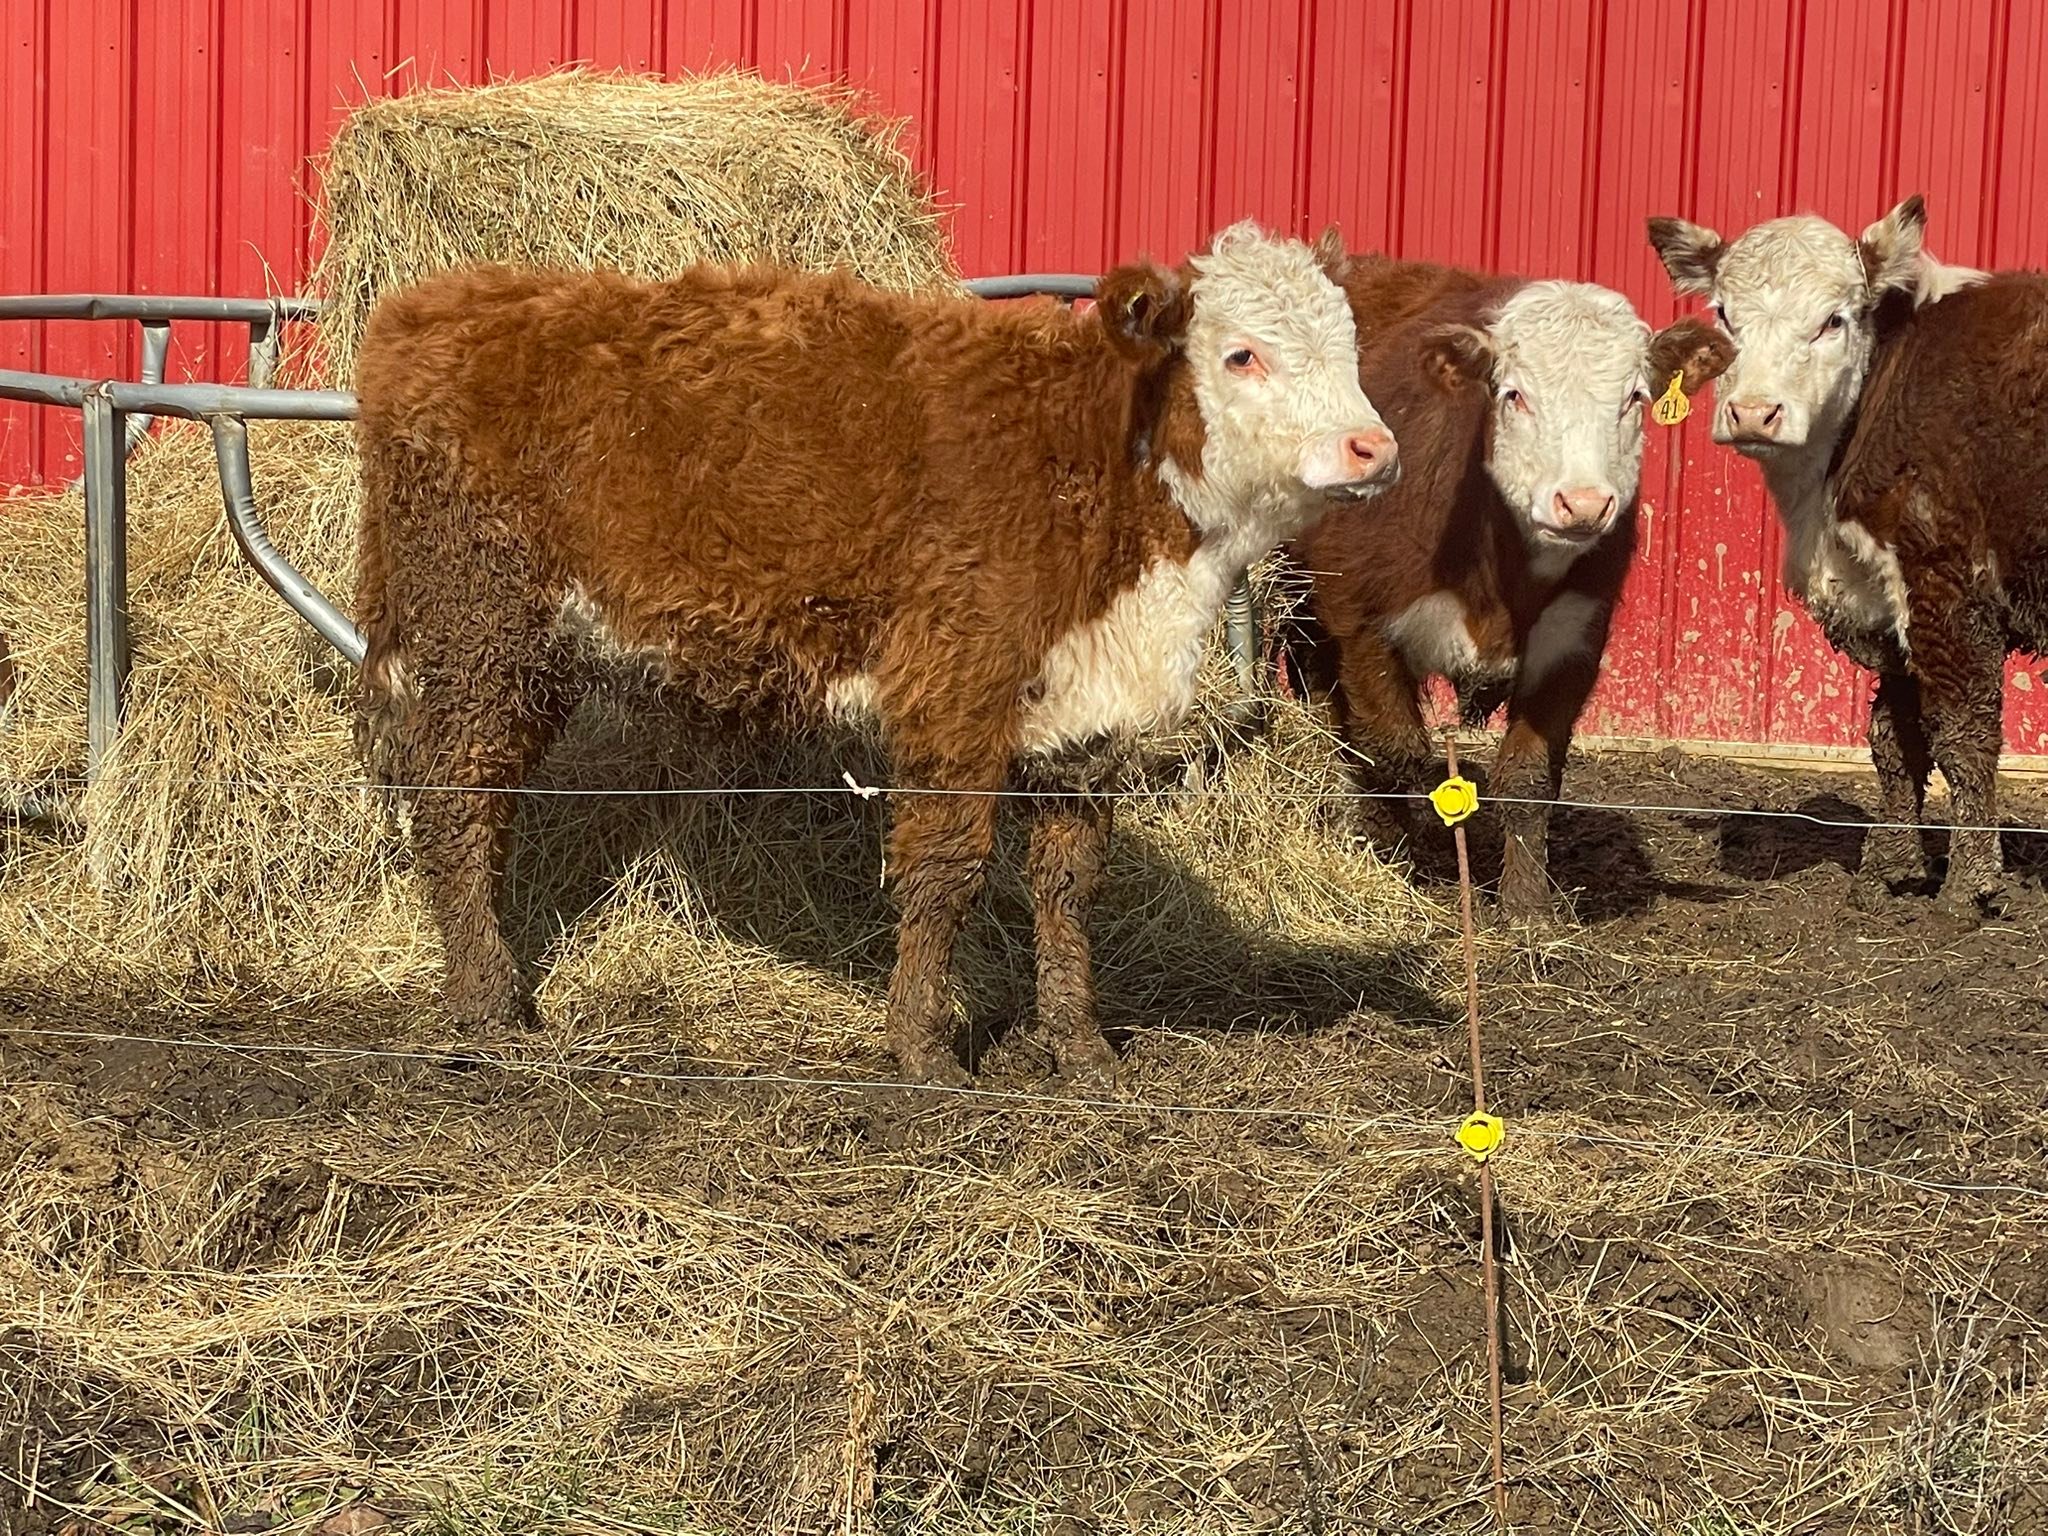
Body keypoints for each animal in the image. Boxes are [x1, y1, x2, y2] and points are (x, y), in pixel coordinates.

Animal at [352, 222, 1397, 1087]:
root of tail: (439, 303)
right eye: (1242, 353)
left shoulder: (1084, 715)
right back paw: (488, 1006)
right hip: (483, 626)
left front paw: (1080, 1048)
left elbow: (1069, 884)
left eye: (1351, 347)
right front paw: (924, 1050)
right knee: (456, 801)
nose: (1373, 447)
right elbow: (947, 869)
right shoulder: (956, 691)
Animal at [1280, 257, 1731, 918]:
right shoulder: (1363, 621)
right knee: (1323, 705)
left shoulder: (1572, 640)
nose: (1583, 503)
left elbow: (1527, 775)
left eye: (1635, 397)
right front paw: (1395, 861)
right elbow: (1391, 752)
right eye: (1513, 394)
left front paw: (1525, 906)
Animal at [1648, 196, 2047, 914]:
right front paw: (1888, 871)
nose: (1754, 412)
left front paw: (1967, 888)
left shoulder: (1944, 583)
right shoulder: (1886, 601)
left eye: (1833, 320)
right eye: (1724, 314)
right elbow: (1894, 739)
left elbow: (1963, 735)